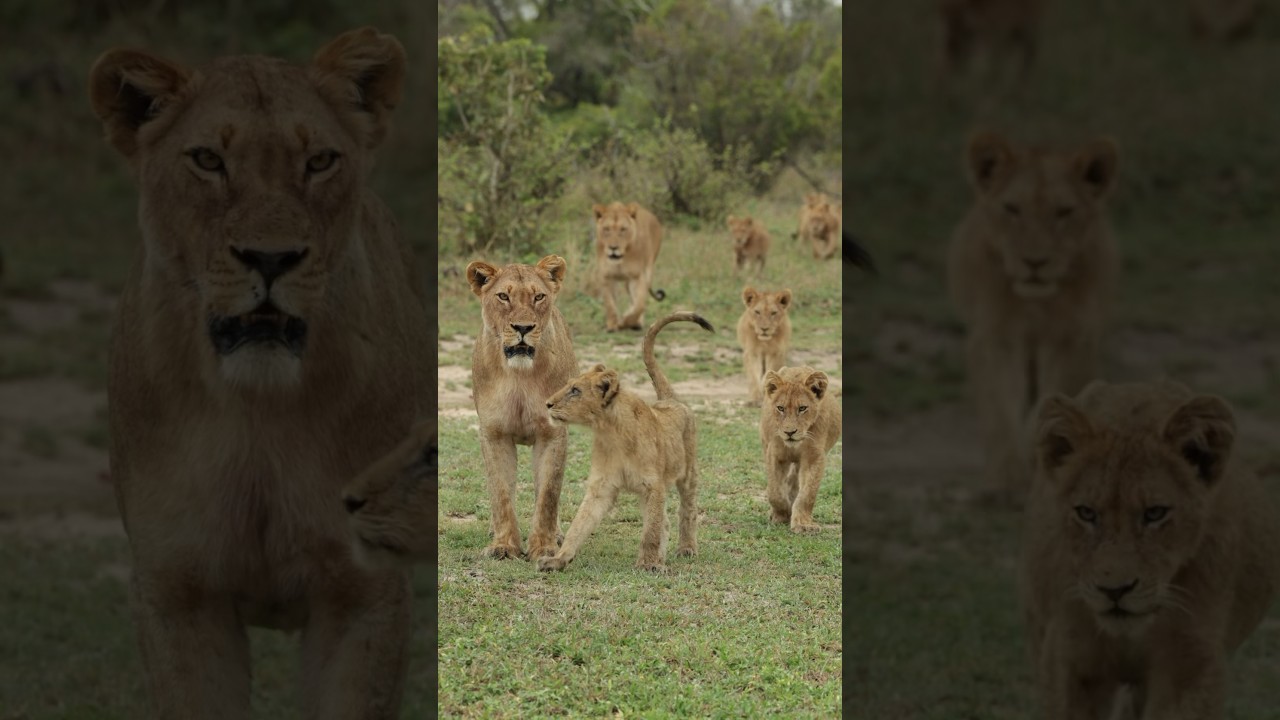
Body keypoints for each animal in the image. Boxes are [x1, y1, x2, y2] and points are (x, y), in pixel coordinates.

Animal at [465, 254, 578, 561]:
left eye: (538, 297)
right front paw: (504, 546)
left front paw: (544, 547)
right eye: (503, 296)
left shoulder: (553, 434)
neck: (518, 377)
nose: (524, 328)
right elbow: (501, 492)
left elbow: (548, 494)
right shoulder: (494, 435)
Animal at [537, 311, 713, 572]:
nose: (548, 403)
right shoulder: (601, 486)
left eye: (575, 391)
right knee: (665, 520)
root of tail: (669, 400)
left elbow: (650, 531)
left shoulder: (653, 485)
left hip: (688, 473)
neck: (611, 432)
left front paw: (648, 564)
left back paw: (686, 548)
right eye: (568, 385)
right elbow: (579, 524)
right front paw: (558, 559)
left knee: (687, 510)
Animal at [594, 201, 665, 331]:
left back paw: (636, 322)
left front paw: (626, 321)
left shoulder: (638, 276)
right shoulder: (606, 277)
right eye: (606, 229)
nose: (613, 247)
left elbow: (639, 305)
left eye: (623, 229)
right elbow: (609, 303)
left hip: (648, 270)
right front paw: (612, 325)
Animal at [761, 366, 842, 533]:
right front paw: (781, 514)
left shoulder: (814, 456)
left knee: (794, 481)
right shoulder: (774, 453)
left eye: (802, 408)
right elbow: (774, 491)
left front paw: (803, 524)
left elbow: (807, 493)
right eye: (781, 408)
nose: (789, 432)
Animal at [947, 129, 1120, 504]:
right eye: (1012, 209)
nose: (1035, 262)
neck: (1035, 305)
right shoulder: (995, 338)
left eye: (1064, 211)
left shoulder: (1071, 339)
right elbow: (1000, 409)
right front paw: (1005, 480)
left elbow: (1048, 405)